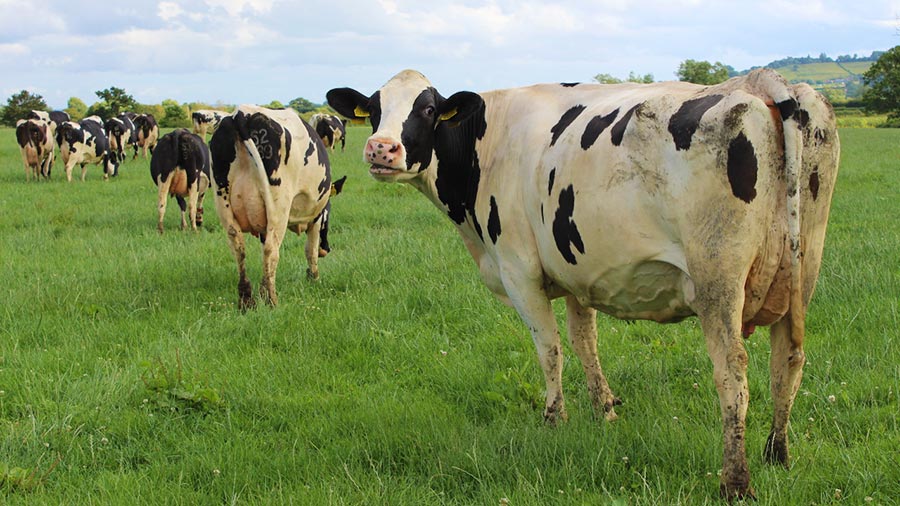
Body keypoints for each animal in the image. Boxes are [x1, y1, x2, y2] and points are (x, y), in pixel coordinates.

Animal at [209, 105, 332, 310]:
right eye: (328, 220)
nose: (327, 249)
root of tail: (241, 113)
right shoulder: (316, 217)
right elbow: (311, 251)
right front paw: (314, 279)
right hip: (278, 206)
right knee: (271, 250)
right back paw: (271, 300)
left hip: (223, 200)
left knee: (238, 247)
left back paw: (246, 300)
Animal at [326, 69, 840, 500]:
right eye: (374, 108)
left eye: (428, 110)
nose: (381, 149)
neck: (486, 142)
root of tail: (759, 83)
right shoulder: (578, 273)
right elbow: (584, 342)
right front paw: (604, 411)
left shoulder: (519, 270)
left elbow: (549, 348)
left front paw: (555, 418)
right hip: (803, 268)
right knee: (787, 360)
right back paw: (777, 455)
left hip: (718, 279)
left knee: (733, 373)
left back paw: (736, 482)